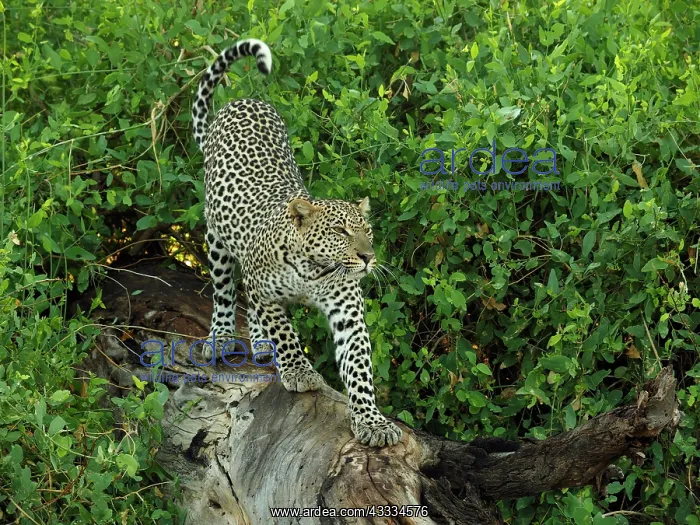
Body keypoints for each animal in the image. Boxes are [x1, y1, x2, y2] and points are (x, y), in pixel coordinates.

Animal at [191, 38, 402, 447]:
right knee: (225, 290)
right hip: (217, 238)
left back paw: (259, 342)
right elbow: (284, 331)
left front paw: (372, 421)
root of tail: (243, 100)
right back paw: (222, 335)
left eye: (367, 232)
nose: (368, 257)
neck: (314, 272)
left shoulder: (348, 314)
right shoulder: (263, 286)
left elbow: (359, 368)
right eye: (340, 231)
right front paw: (299, 371)